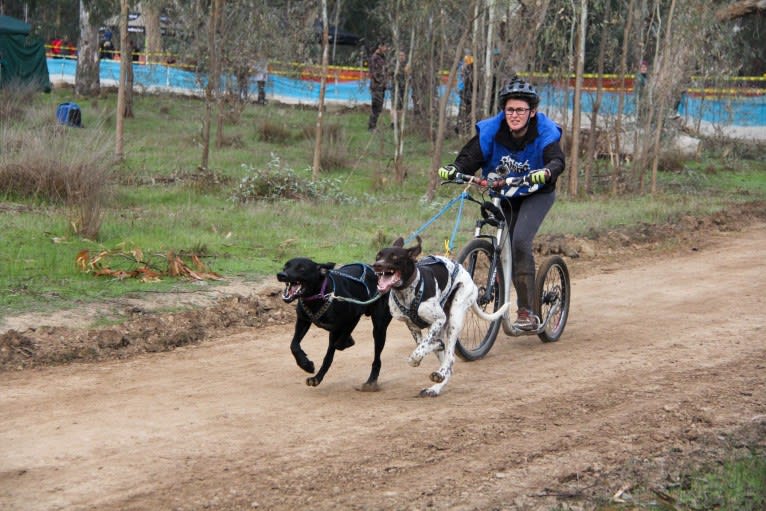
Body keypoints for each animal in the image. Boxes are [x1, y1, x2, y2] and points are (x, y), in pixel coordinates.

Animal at [278, 260, 392, 392]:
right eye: (286, 266)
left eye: (302, 268)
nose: (281, 275)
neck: (321, 294)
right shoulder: (303, 320)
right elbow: (294, 345)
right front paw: (306, 365)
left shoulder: (354, 314)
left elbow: (339, 342)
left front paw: (345, 342)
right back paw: (317, 378)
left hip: (379, 328)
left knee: (376, 359)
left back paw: (371, 381)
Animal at [376, 238, 512, 398]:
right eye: (378, 255)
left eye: (395, 257)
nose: (376, 265)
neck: (406, 292)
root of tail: (470, 279)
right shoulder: (413, 326)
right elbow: (422, 345)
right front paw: (433, 347)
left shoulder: (438, 320)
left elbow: (418, 352)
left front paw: (418, 356)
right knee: (447, 364)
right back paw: (436, 385)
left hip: (455, 318)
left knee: (450, 357)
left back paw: (440, 372)